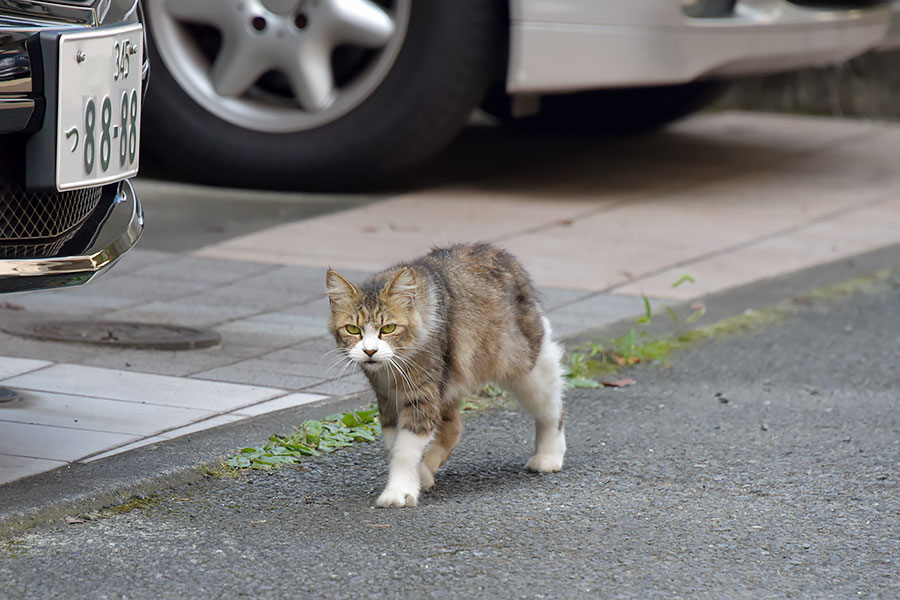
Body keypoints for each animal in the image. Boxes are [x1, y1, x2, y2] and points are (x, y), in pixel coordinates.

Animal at [324, 241, 568, 508]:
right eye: (352, 329)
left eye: (388, 328)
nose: (369, 351)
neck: (392, 370)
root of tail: (501, 253)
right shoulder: (388, 399)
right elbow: (394, 447)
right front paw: (415, 478)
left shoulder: (422, 395)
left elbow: (404, 451)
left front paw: (398, 491)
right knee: (453, 428)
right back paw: (426, 473)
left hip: (528, 368)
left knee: (552, 409)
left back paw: (549, 456)